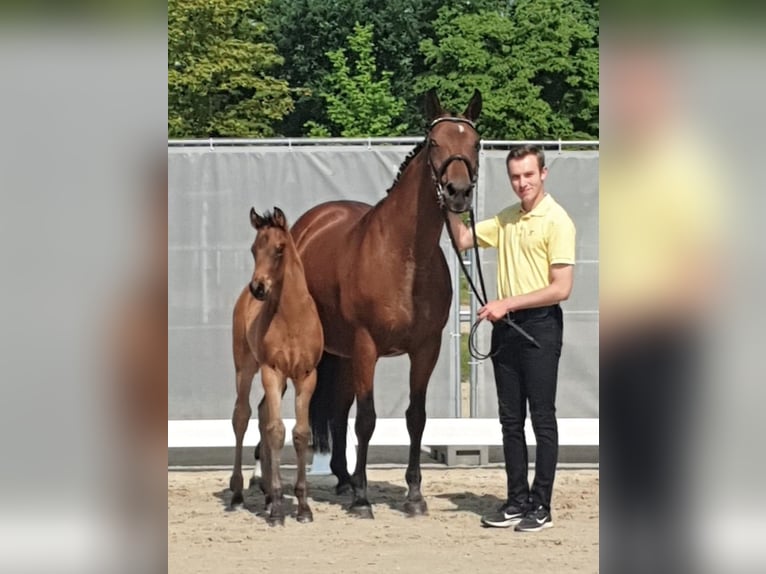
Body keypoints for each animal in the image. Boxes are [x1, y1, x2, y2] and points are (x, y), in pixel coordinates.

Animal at [228, 207, 324, 528]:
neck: (292, 317)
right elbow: (277, 431)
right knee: (242, 416)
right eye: (253, 249)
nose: (258, 288)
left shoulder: (306, 376)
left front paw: (303, 507)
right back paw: (238, 494)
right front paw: (280, 510)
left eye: (279, 249)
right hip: (245, 367)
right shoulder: (272, 371)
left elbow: (300, 434)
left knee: (259, 413)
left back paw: (269, 495)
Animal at [292, 91, 480, 520]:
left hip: (342, 354)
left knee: (338, 409)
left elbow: (416, 418)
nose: (458, 192)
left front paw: (414, 496)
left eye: (476, 144)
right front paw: (364, 500)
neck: (404, 258)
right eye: (435, 143)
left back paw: (344, 478)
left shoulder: (426, 349)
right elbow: (367, 419)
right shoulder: (367, 347)